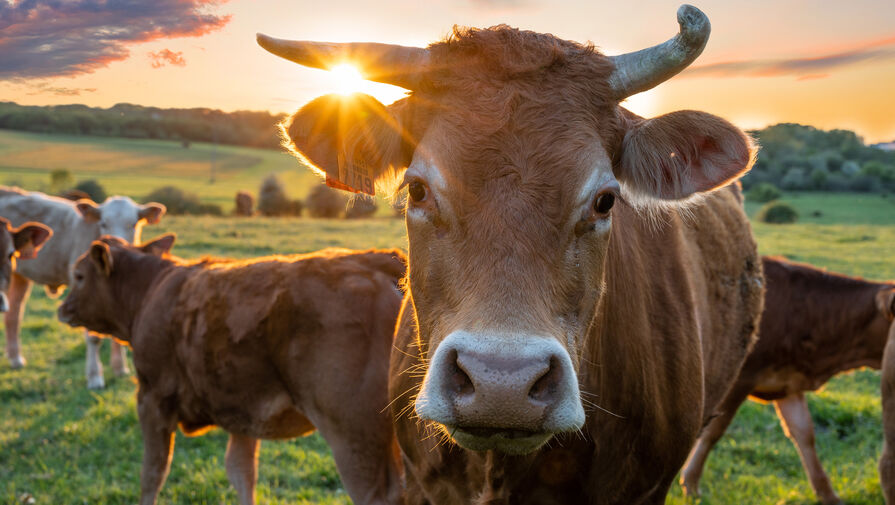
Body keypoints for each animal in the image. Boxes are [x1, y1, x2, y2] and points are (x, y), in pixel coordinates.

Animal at [0, 187, 166, 388]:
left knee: (13, 315)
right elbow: (93, 337)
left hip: (19, 276)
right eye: (103, 223)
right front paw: (95, 377)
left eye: (134, 224)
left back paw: (15, 359)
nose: (117, 244)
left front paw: (120, 369)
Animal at [57, 236, 406, 504]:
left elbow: (152, 472)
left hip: (354, 437)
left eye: (79, 275)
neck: (150, 291)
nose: (62, 307)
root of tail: (377, 261)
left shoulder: (152, 399)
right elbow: (241, 472)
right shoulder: (243, 411)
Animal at [684, 256, 895, 504]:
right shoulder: (740, 380)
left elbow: (805, 434)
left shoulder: (787, 385)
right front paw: (690, 484)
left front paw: (828, 495)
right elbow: (713, 431)